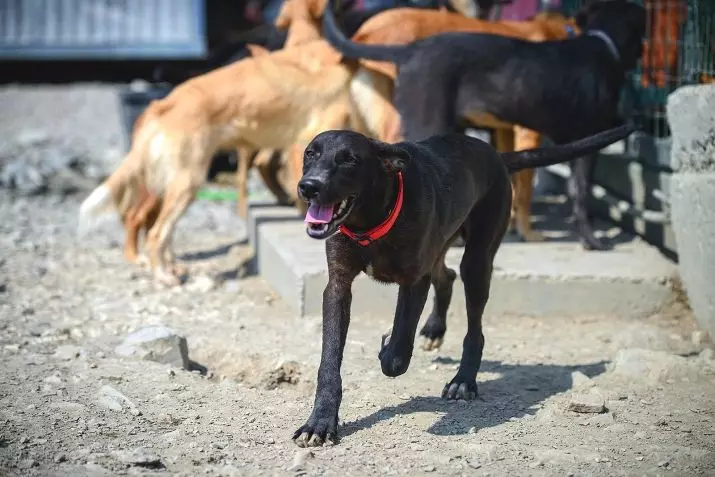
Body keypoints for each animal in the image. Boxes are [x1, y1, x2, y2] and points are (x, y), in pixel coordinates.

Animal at [290, 123, 632, 446]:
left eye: (349, 159)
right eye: (310, 154)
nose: (309, 187)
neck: (371, 221)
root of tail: (496, 154)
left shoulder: (414, 280)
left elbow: (397, 352)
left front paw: (388, 346)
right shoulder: (338, 286)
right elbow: (329, 361)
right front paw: (319, 423)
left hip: (478, 260)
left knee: (473, 325)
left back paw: (464, 380)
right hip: (444, 242)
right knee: (447, 277)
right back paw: (434, 330)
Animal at [322, 0, 648, 251]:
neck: (600, 41)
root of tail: (409, 51)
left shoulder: (507, 131)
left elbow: (520, 183)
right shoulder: (561, 137)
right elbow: (575, 193)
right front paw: (587, 241)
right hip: (425, 120)